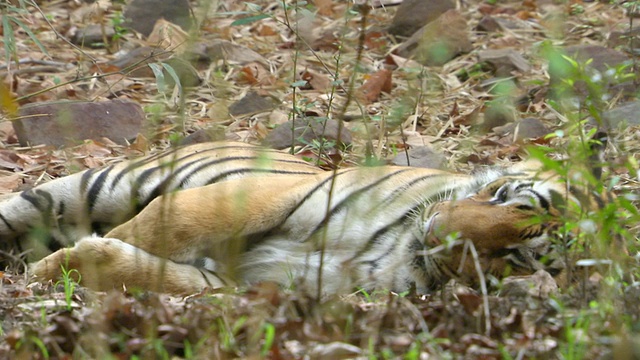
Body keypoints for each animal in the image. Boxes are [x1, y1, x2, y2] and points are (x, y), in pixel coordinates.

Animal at [0, 141, 608, 296]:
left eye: (518, 256)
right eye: (505, 195)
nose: (436, 229)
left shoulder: (257, 284)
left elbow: (154, 271)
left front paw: (69, 265)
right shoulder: (277, 191)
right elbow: (169, 224)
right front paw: (49, 273)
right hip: (96, 186)